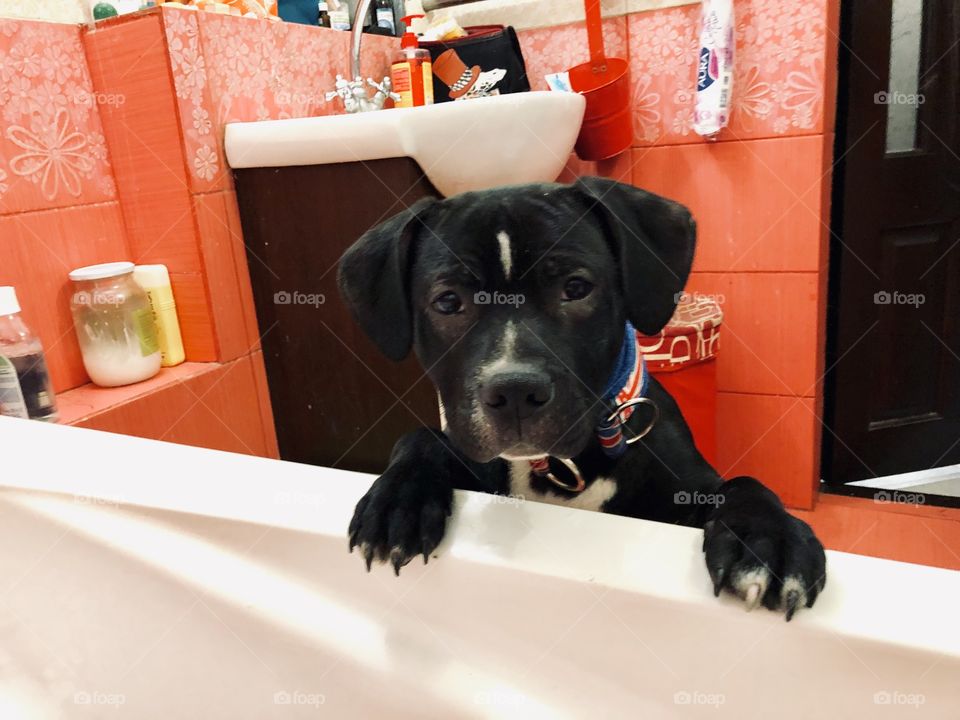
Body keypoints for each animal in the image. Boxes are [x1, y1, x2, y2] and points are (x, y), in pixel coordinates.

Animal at [342, 176, 828, 620]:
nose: (514, 390)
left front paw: (769, 539)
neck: (559, 465)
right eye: (447, 302)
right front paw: (398, 500)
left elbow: (745, 485)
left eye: (576, 288)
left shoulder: (687, 496)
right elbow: (419, 438)